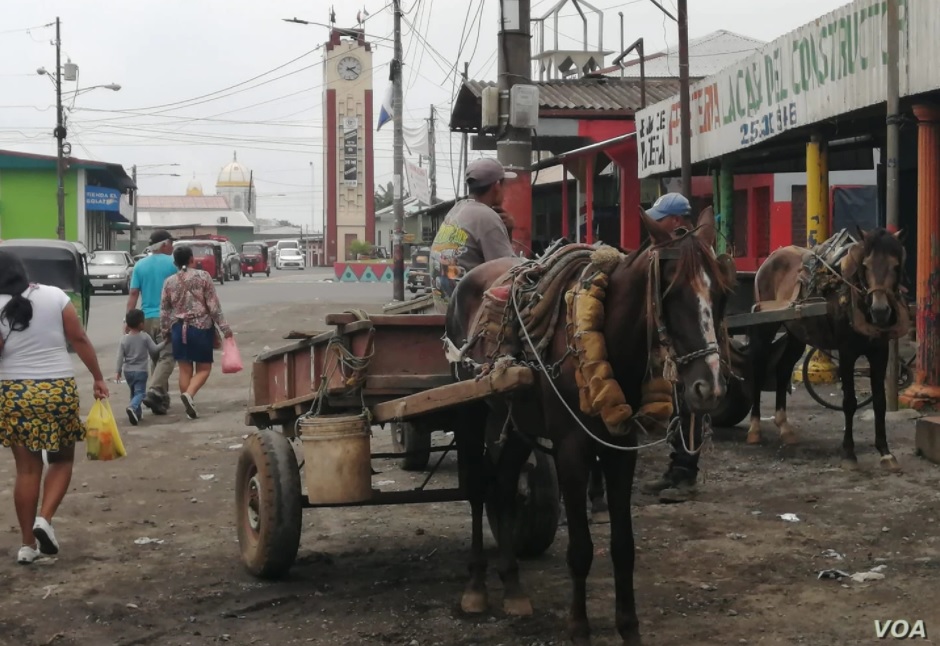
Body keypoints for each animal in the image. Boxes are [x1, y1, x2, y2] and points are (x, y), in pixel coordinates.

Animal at [444, 209, 740, 646]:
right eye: (670, 293)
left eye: (721, 294)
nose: (710, 387)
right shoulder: (571, 451)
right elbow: (581, 548)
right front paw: (578, 627)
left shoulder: (620, 447)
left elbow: (623, 546)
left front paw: (629, 627)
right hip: (468, 409)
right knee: (479, 488)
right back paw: (477, 586)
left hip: (516, 422)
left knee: (504, 484)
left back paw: (513, 585)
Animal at [744, 230, 908, 474]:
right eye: (866, 266)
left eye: (896, 266)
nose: (880, 311)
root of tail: (771, 256)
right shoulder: (847, 353)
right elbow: (849, 402)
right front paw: (849, 454)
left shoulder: (880, 352)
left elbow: (880, 402)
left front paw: (885, 452)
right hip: (765, 326)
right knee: (759, 368)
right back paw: (755, 428)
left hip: (796, 333)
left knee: (783, 368)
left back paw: (784, 426)